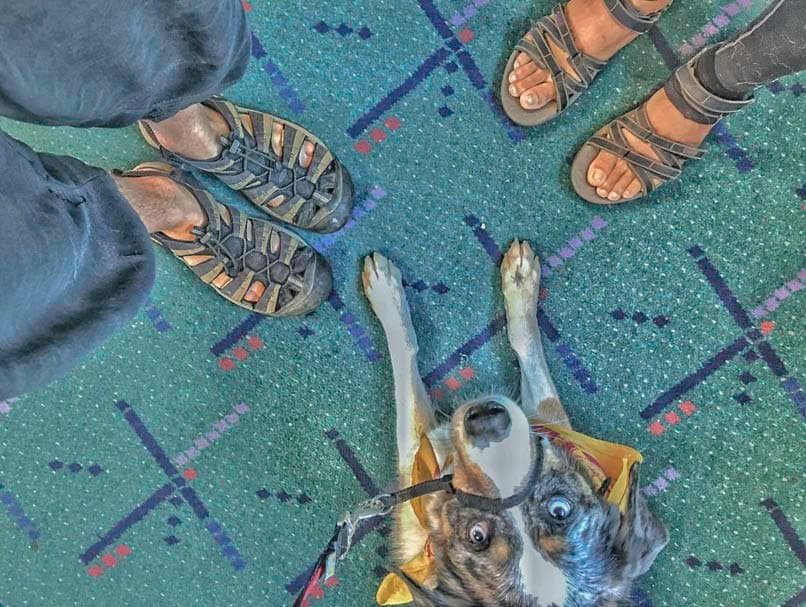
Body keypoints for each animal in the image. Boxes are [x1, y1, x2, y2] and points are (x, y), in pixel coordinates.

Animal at [362, 242, 664, 607]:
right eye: (559, 510)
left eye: (477, 535)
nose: (486, 422)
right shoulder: (547, 418)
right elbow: (526, 345)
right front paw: (520, 280)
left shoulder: (416, 456)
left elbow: (405, 352)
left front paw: (385, 292)